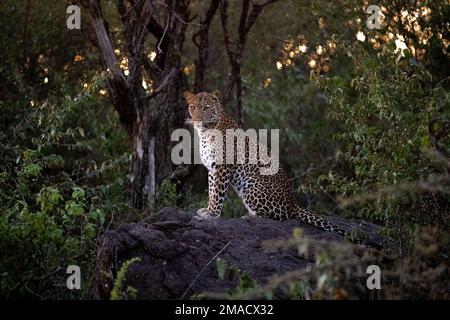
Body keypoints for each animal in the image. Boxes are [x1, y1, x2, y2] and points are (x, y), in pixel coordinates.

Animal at [184, 89, 370, 245]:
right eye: (193, 107)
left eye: (206, 108)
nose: (196, 119)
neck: (205, 131)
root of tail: (293, 203)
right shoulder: (211, 169)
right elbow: (211, 191)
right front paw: (206, 209)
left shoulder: (222, 167)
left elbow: (217, 193)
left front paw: (211, 215)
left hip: (251, 185)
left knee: (276, 217)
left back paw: (248, 217)